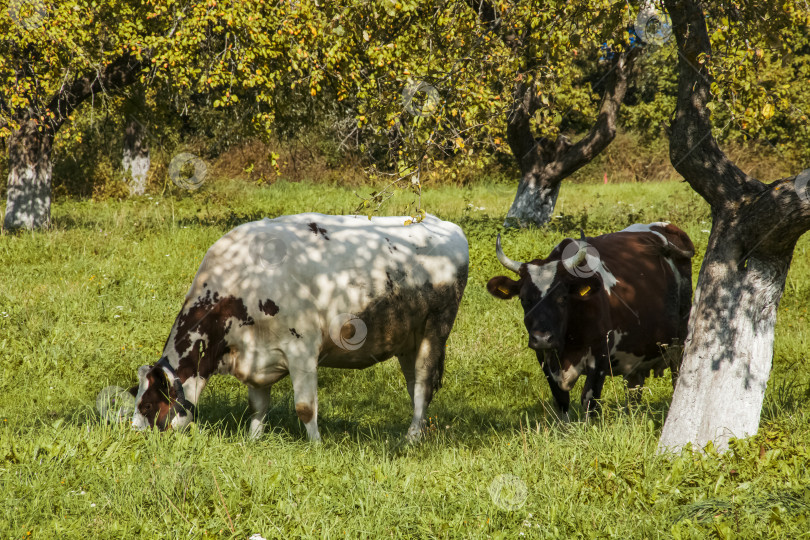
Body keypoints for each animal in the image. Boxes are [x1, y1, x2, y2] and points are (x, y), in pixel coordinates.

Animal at [130, 213, 470, 440]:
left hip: (435, 331)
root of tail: (445, 225)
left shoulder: (302, 349)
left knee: (423, 385)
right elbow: (257, 405)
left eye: (148, 405)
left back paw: (412, 438)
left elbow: (305, 406)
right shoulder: (255, 355)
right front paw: (252, 440)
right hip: (406, 339)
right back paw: (416, 431)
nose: (134, 437)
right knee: (414, 387)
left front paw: (316, 445)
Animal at [486, 221, 696, 420]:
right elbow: (561, 402)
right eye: (524, 299)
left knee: (676, 379)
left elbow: (589, 401)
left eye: (562, 298)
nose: (542, 338)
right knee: (633, 392)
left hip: (680, 343)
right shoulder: (544, 360)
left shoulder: (600, 358)